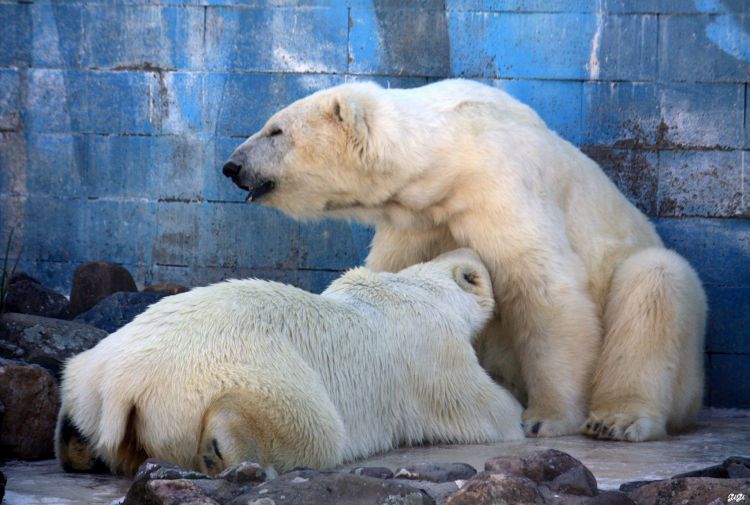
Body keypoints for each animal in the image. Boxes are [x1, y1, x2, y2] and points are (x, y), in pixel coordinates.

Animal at [55, 249, 524, 476]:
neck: (415, 288)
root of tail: (126, 384)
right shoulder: (435, 353)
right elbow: (484, 409)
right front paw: (521, 415)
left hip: (89, 375)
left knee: (74, 399)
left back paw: (75, 445)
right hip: (244, 365)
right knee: (310, 427)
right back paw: (224, 446)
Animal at [222, 78, 712, 440]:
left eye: (275, 130)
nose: (231, 166)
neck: (450, 152)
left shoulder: (500, 187)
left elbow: (544, 289)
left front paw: (545, 417)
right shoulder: (420, 219)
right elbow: (392, 272)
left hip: (675, 343)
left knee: (656, 281)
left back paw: (618, 419)